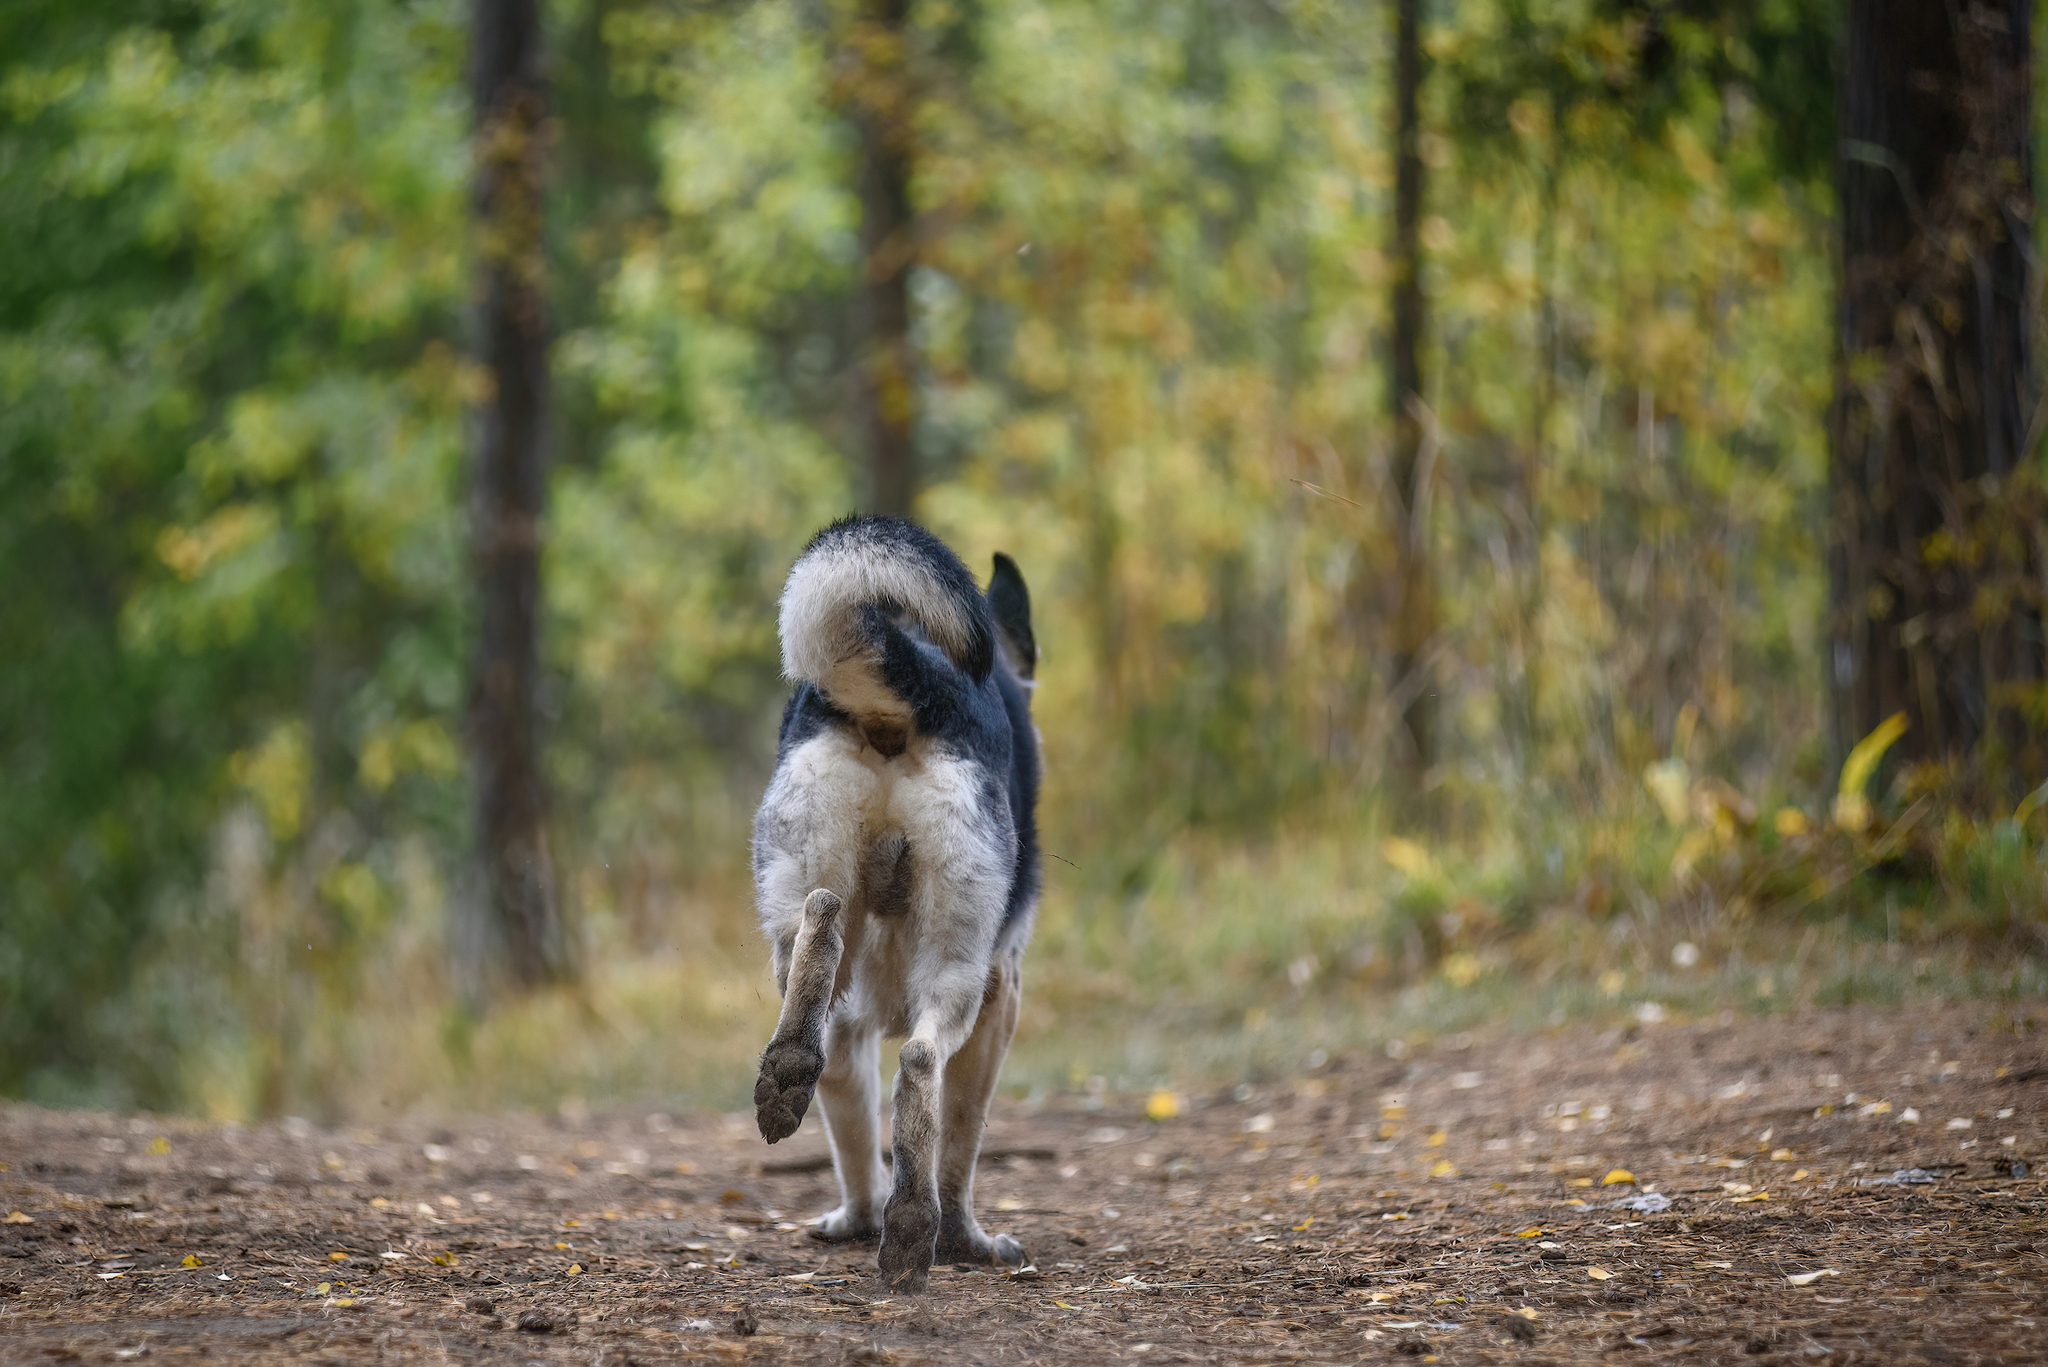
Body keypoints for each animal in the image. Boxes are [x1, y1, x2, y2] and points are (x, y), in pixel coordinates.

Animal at [749, 512, 1040, 1295]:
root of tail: (920, 670)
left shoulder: (848, 1028)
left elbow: (852, 1135)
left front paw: (857, 1219)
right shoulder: (1002, 998)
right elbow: (959, 1144)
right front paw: (961, 1237)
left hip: (798, 900)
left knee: (819, 930)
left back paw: (788, 1068)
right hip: (961, 967)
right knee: (920, 1061)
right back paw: (921, 1226)